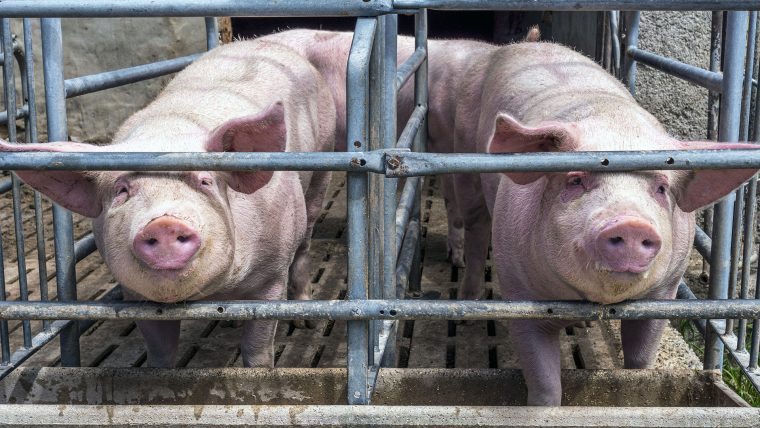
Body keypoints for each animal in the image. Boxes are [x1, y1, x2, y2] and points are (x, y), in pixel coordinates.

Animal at [0, 39, 335, 367]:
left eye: (205, 182)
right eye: (122, 190)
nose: (163, 223)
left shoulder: (271, 278)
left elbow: (257, 349)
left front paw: (261, 369)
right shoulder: (135, 294)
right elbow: (160, 352)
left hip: (321, 167)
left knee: (305, 242)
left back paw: (304, 321)